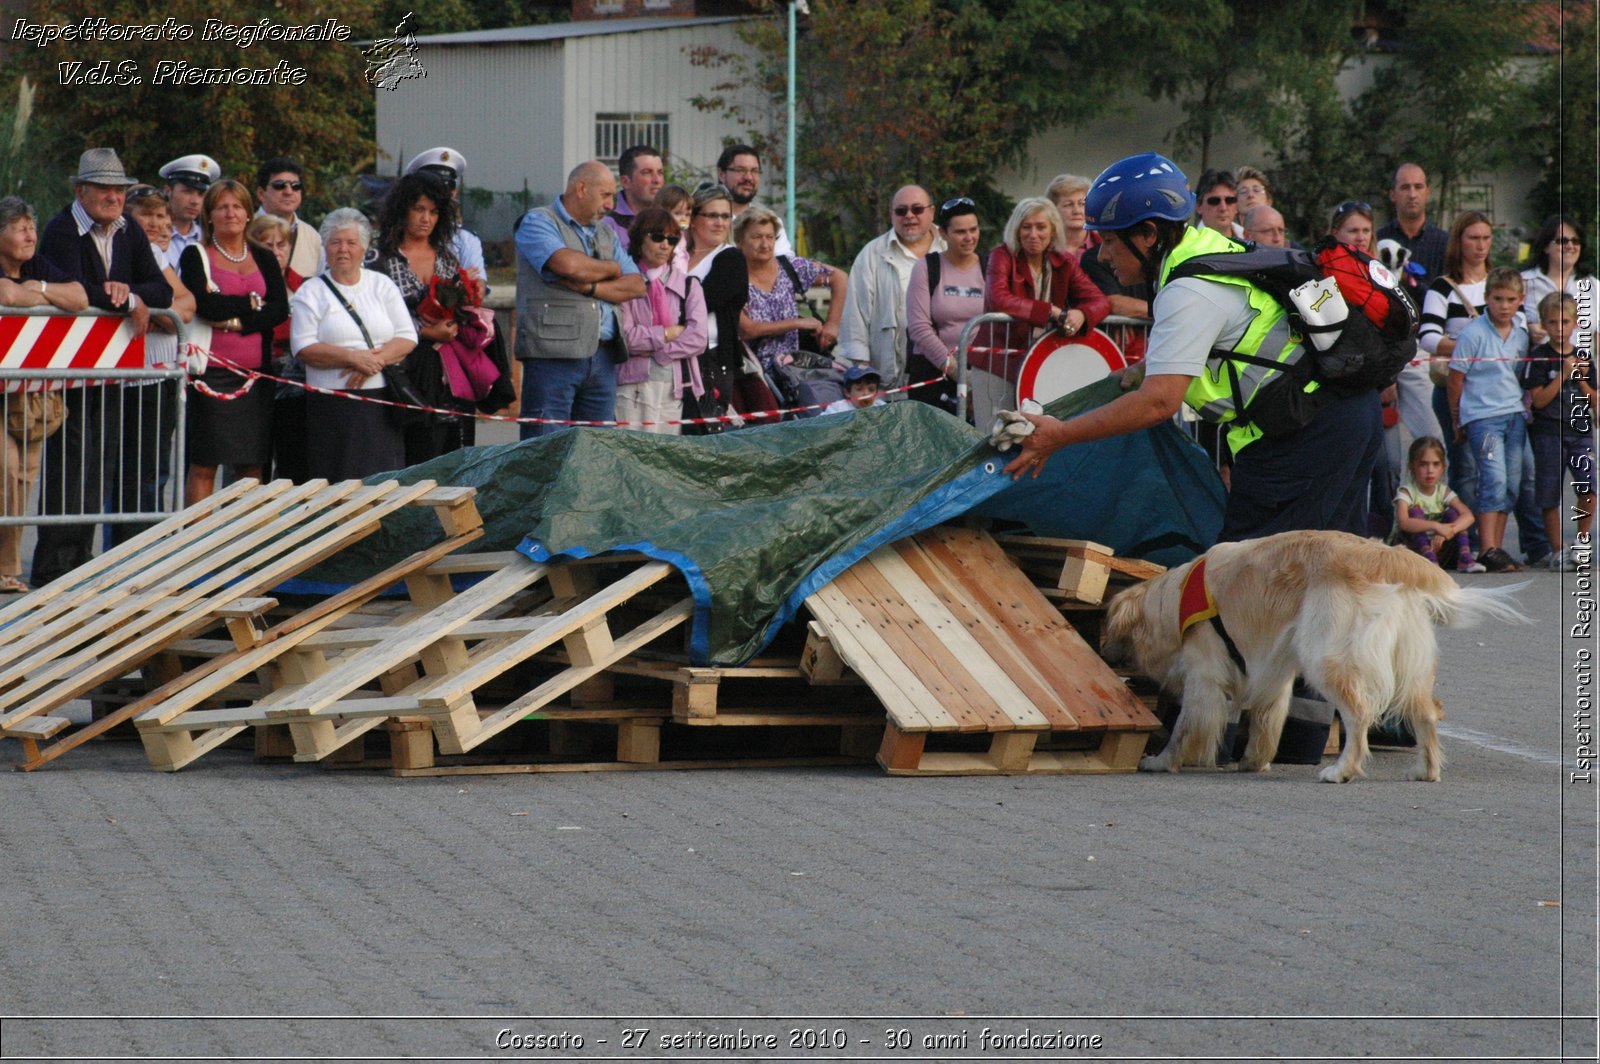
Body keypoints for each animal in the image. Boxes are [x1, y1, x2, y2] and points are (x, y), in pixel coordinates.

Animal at [1107, 528, 1529, 780]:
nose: (1110, 657)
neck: (1175, 601)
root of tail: (1387, 554)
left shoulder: (1205, 678)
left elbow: (1184, 728)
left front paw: (1162, 761)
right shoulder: (1274, 673)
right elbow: (1265, 723)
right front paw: (1254, 761)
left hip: (1326, 658)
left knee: (1359, 714)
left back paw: (1342, 770)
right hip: (1410, 668)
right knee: (1425, 714)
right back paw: (1424, 770)